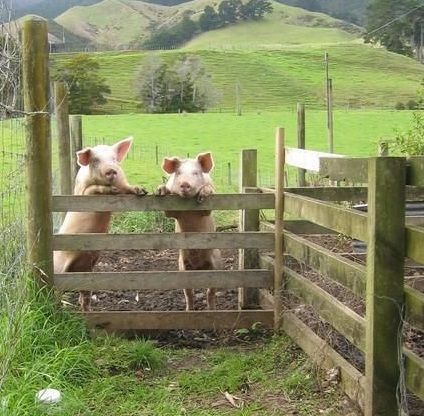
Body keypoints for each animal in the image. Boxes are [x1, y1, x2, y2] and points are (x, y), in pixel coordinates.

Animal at [53, 138, 146, 310]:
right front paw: (113, 190)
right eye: (95, 161)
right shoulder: (83, 192)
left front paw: (142, 190)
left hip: (87, 270)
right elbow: (93, 189)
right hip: (59, 268)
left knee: (84, 296)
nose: (111, 170)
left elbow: (128, 187)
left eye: (114, 159)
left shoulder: (123, 182)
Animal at [156, 152, 222, 308]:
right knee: (189, 294)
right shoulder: (172, 213)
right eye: (179, 173)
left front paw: (203, 194)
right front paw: (161, 190)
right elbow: (168, 211)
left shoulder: (207, 211)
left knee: (210, 293)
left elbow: (207, 201)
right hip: (182, 267)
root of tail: (198, 268)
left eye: (196, 172)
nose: (185, 183)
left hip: (217, 263)